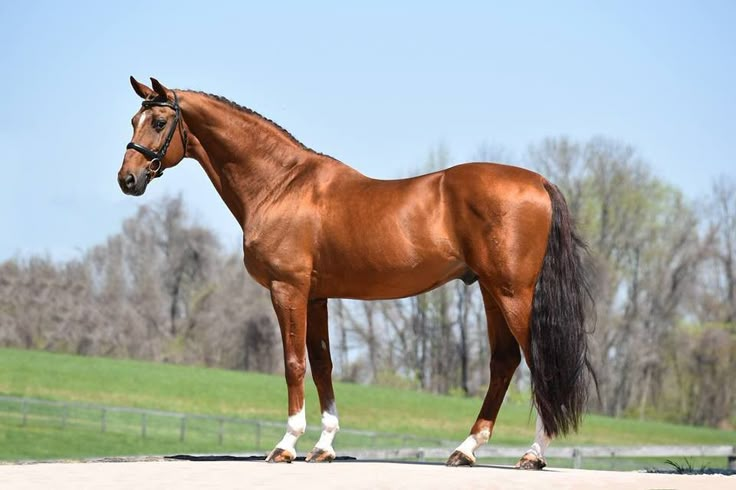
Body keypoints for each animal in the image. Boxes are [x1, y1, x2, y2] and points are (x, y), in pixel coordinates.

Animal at [118, 75, 596, 468]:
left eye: (159, 122)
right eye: (133, 120)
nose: (128, 180)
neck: (281, 185)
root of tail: (538, 182)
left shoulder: (287, 289)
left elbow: (294, 364)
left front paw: (286, 445)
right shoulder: (316, 295)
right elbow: (323, 364)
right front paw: (323, 447)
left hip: (514, 293)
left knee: (539, 363)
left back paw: (532, 454)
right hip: (492, 292)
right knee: (504, 362)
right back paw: (465, 450)